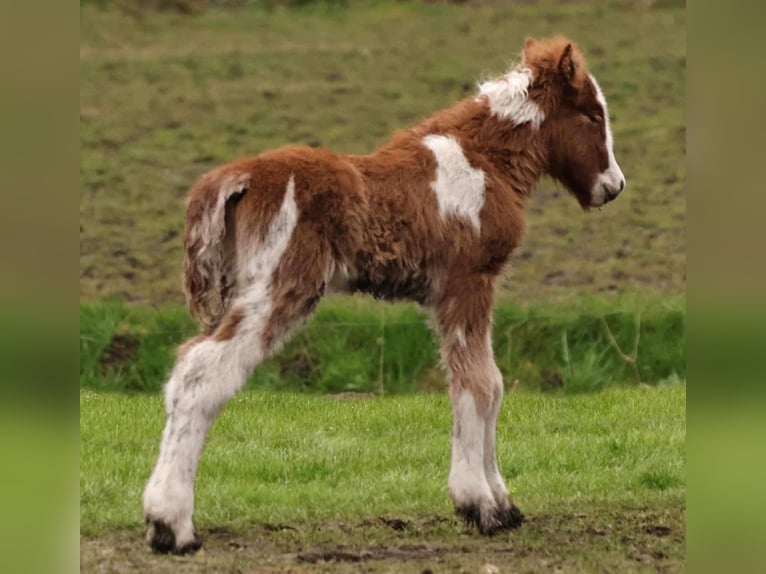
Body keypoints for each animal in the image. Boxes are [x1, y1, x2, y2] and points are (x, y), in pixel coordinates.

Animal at [146, 35, 632, 552]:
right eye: (592, 115)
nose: (614, 185)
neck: (482, 161)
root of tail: (237, 178)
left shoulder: (455, 293)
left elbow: (493, 384)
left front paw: (503, 503)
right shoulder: (468, 283)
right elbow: (478, 385)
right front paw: (480, 505)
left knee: (186, 368)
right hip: (281, 285)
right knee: (204, 373)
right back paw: (172, 526)